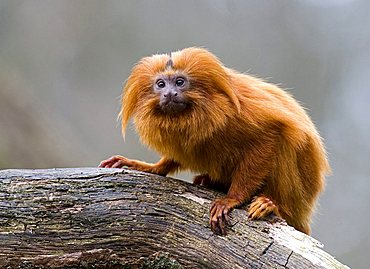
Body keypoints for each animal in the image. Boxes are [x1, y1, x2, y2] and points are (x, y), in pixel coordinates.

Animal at [99, 47, 330, 233]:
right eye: (161, 84)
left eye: (180, 82)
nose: (170, 93)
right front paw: (150, 167)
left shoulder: (241, 113)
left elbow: (270, 136)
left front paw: (232, 199)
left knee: (287, 143)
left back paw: (273, 205)